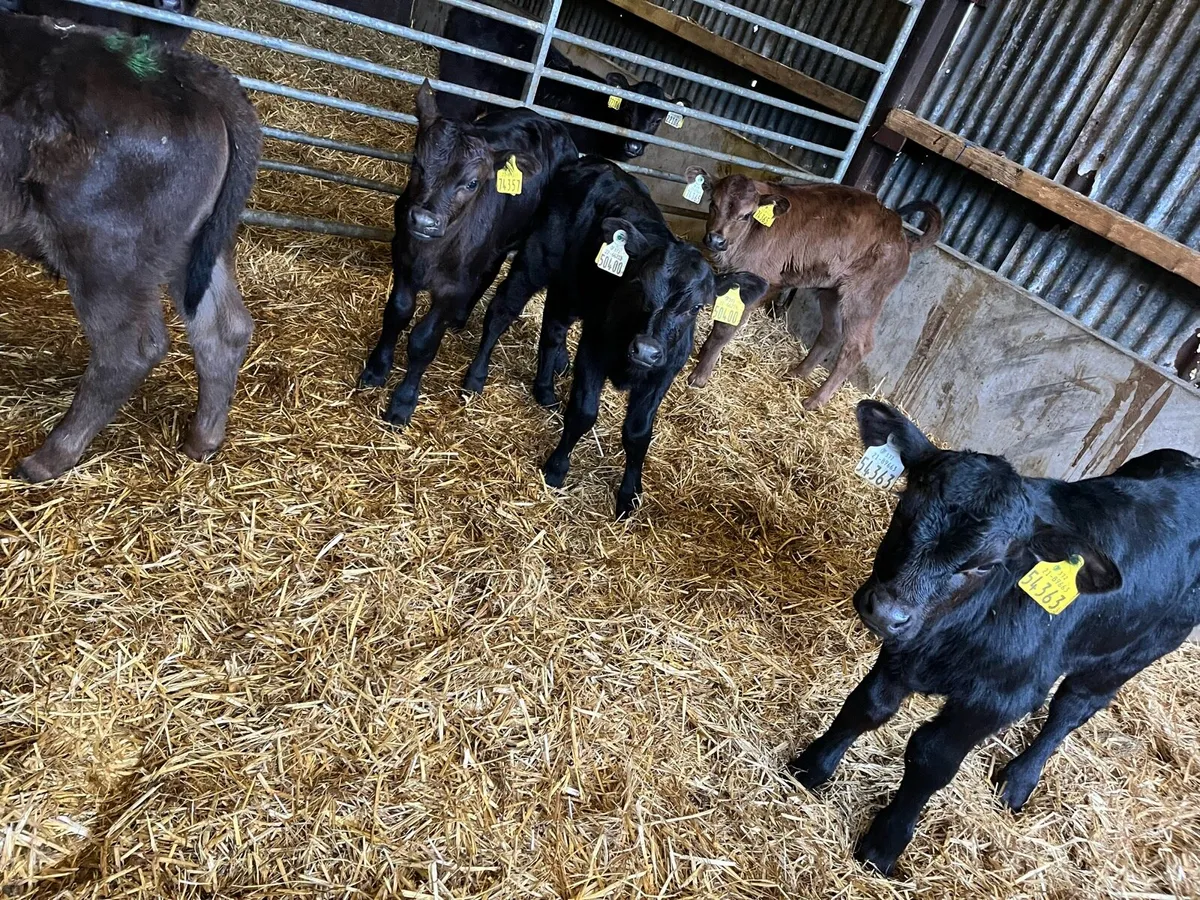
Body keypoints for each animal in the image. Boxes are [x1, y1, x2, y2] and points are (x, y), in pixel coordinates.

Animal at [0, 15, 259, 481]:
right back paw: (202, 442)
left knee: (130, 348)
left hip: (103, 251)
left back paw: (49, 458)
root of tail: (177, 65)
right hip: (196, 248)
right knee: (224, 328)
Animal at [358, 80, 577, 426]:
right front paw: (376, 369)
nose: (424, 220)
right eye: (418, 164)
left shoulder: (452, 287)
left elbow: (424, 340)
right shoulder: (402, 259)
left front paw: (403, 401)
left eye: (472, 183)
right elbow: (397, 313)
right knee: (489, 271)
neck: (429, 254)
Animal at [462, 156, 768, 519]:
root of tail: (592, 162)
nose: (646, 350)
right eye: (637, 285)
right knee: (501, 311)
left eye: (696, 307)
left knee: (553, 327)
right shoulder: (593, 351)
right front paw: (556, 468)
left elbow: (638, 433)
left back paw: (545, 389)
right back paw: (476, 377)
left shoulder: (662, 374)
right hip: (535, 260)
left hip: (571, 287)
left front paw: (629, 494)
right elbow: (583, 412)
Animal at [683, 167, 942, 410]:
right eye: (713, 203)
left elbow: (724, 329)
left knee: (857, 346)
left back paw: (815, 401)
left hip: (864, 296)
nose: (716, 240)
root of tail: (902, 235)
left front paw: (699, 376)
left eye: (746, 215)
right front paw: (700, 354)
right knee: (831, 333)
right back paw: (795, 374)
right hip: (832, 290)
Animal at [788, 399, 1200, 876]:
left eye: (985, 564)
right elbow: (865, 707)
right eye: (905, 507)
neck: (953, 635)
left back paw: (1019, 780)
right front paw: (812, 767)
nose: (886, 612)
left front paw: (885, 843)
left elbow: (931, 758)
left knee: (1073, 708)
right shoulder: (904, 649)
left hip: (1131, 652)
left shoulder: (1000, 698)